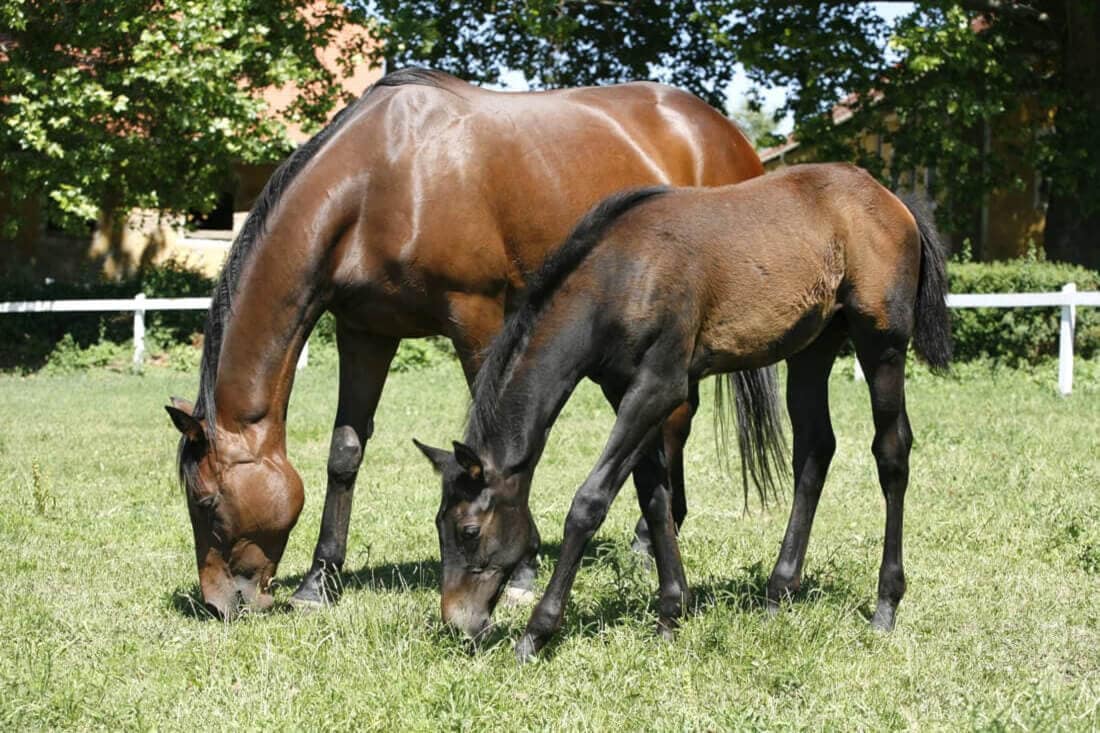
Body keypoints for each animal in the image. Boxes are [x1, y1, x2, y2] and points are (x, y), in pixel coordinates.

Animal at [163, 67, 766, 619]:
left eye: (206, 500)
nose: (219, 604)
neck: (383, 179)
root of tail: (722, 130)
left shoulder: (477, 317)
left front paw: (521, 573)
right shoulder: (365, 332)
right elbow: (345, 453)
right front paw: (319, 582)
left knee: (674, 420)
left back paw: (645, 542)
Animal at [414, 163, 952, 662]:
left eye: (468, 530)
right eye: (439, 526)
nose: (458, 622)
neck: (621, 276)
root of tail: (893, 201)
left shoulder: (660, 385)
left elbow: (590, 501)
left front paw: (536, 633)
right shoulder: (623, 389)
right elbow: (654, 495)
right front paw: (671, 613)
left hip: (881, 342)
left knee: (891, 452)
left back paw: (884, 606)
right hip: (812, 349)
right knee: (815, 449)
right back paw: (778, 593)